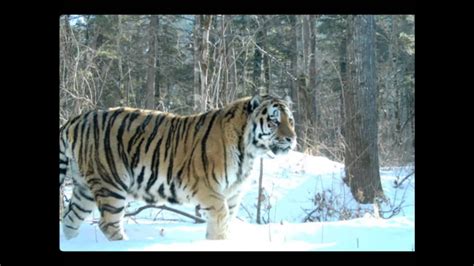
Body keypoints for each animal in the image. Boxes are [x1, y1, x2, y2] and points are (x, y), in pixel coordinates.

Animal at [59, 94, 296, 241]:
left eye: (290, 120)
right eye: (274, 121)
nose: (292, 139)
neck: (249, 152)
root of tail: (76, 119)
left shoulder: (233, 195)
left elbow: (225, 222)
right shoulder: (211, 192)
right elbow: (220, 222)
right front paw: (219, 241)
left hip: (84, 188)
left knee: (70, 219)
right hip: (111, 184)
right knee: (108, 224)